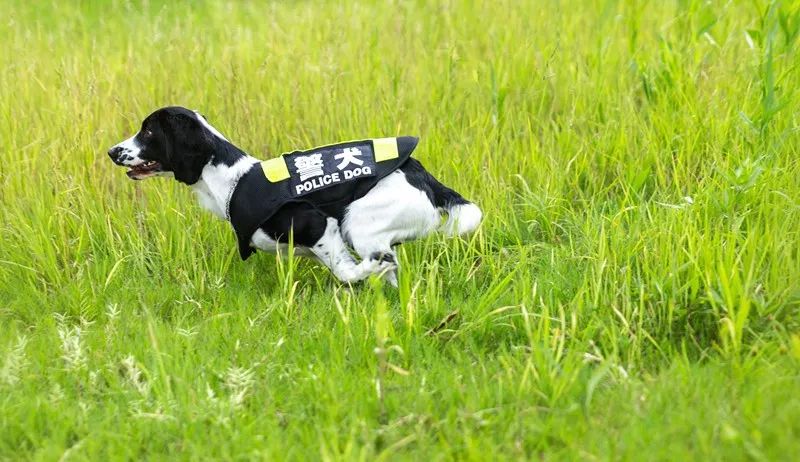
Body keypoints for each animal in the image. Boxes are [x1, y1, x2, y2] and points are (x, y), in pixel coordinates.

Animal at [106, 107, 482, 286]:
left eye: (148, 131)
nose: (112, 151)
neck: (232, 179)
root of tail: (424, 176)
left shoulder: (319, 225)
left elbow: (347, 272)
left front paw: (362, 273)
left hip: (359, 223)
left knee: (383, 260)